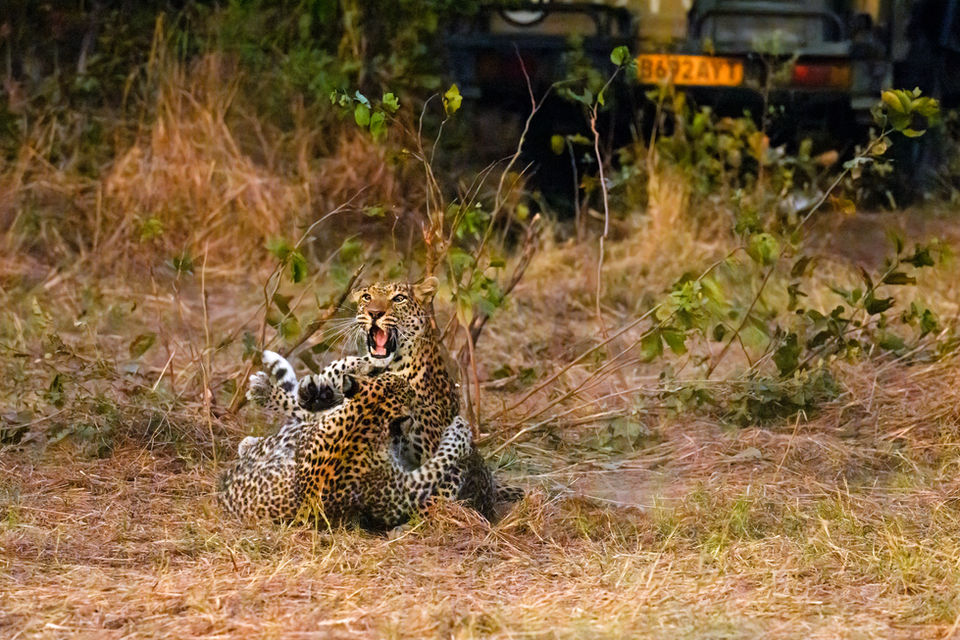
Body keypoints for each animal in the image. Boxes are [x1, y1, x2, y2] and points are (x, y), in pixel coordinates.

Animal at [218, 354, 473, 529]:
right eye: (409, 393)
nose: (411, 387)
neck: (363, 417)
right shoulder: (401, 494)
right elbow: (440, 460)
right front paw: (460, 432)